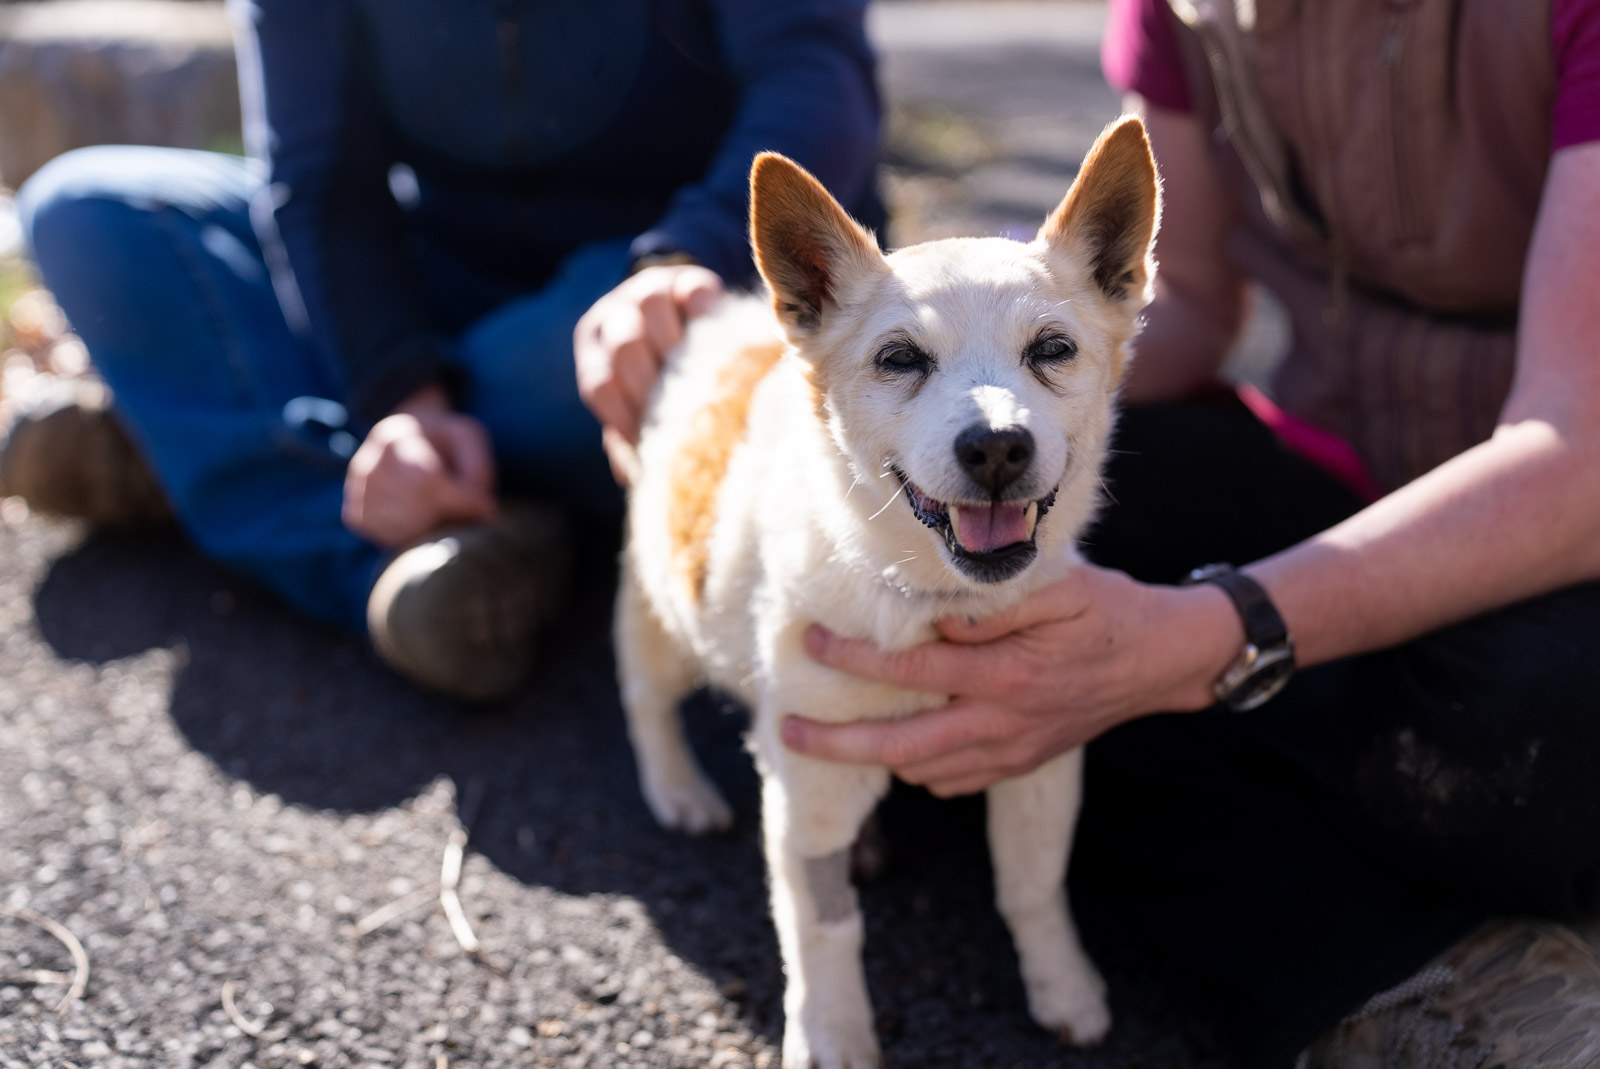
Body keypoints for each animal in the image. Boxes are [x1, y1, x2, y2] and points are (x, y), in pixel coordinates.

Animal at [614, 119, 1164, 1069]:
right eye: (901, 359)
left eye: (1052, 350)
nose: (997, 447)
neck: (934, 602)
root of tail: (721, 319)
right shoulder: (808, 793)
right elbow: (824, 928)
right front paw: (833, 1033)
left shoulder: (1041, 760)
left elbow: (1034, 886)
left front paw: (1062, 985)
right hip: (662, 607)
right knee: (645, 695)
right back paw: (678, 787)